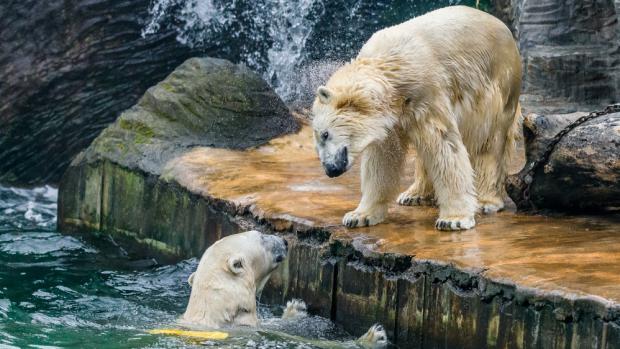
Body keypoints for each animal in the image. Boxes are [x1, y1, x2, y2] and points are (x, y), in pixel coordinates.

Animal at [312, 5, 520, 230]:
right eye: (319, 137)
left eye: (324, 134)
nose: (330, 169)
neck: (393, 67)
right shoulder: (390, 117)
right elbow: (383, 157)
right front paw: (359, 215)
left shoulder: (426, 92)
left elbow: (444, 145)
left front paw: (454, 219)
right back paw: (414, 194)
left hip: (497, 88)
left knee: (490, 143)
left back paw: (486, 201)